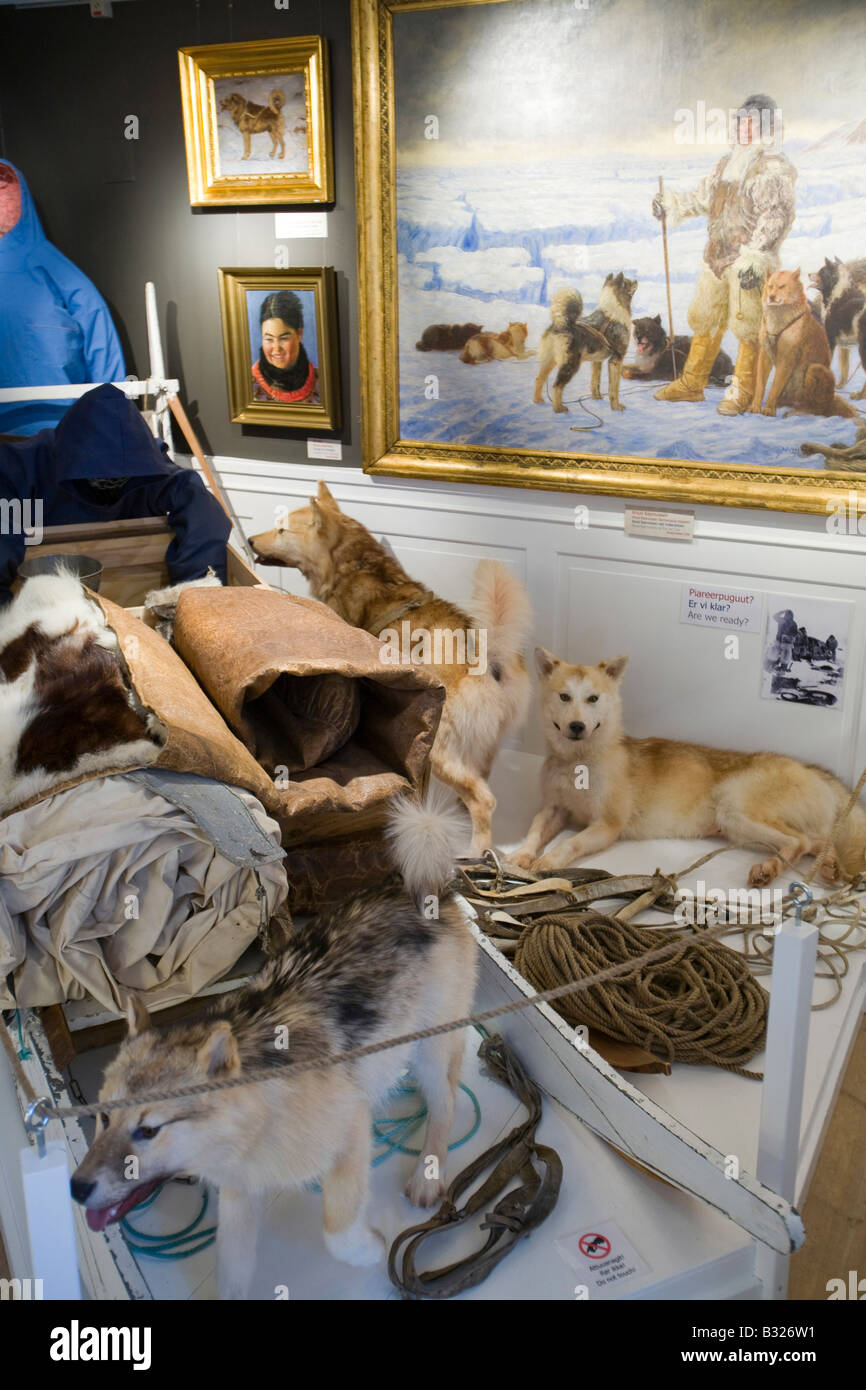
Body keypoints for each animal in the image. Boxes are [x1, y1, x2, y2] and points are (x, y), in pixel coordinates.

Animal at [250, 483, 530, 850]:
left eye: (282, 529)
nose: (249, 540)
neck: (353, 565)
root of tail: (489, 656)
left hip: (440, 750)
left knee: (484, 800)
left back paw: (475, 850)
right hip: (481, 747)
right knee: (476, 787)